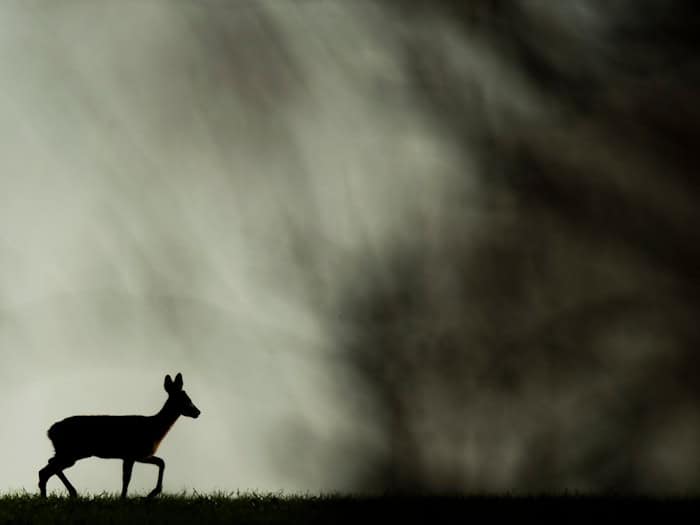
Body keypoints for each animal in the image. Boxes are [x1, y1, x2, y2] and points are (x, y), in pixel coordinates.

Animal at [38, 372, 200, 498]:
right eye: (184, 399)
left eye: (188, 397)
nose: (197, 412)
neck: (154, 428)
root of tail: (49, 431)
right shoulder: (131, 453)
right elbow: (127, 478)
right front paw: (128, 497)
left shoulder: (140, 455)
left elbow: (161, 462)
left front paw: (151, 494)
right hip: (71, 452)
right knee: (47, 468)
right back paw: (69, 493)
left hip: (69, 452)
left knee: (46, 467)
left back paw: (51, 496)